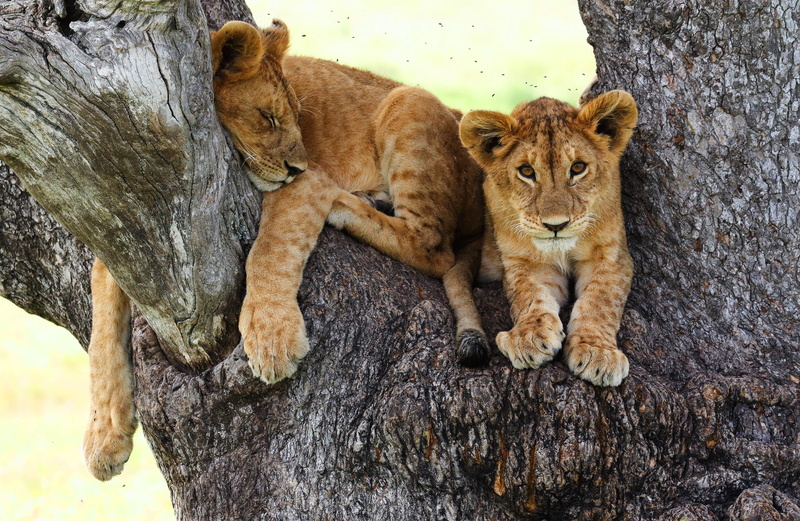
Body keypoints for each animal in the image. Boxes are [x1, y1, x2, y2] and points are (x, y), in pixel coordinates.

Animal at [81, 19, 490, 480]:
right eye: (268, 117)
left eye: (294, 115)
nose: (296, 166)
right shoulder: (123, 230)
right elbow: (101, 328)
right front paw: (104, 435)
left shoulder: (306, 183)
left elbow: (271, 249)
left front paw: (271, 337)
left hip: (409, 101)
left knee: (435, 248)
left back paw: (350, 203)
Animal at [459, 91, 638, 387]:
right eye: (526, 171)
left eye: (578, 168)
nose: (556, 225)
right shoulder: (524, 262)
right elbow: (529, 295)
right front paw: (529, 337)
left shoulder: (613, 255)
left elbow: (600, 301)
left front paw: (597, 352)